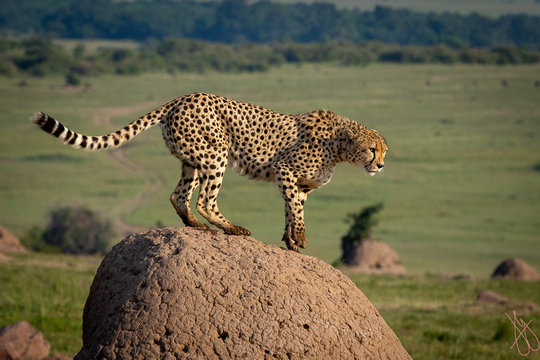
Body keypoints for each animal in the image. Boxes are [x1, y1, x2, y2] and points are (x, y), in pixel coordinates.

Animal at [31, 92, 388, 250]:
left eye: (384, 150)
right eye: (373, 150)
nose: (381, 165)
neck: (341, 146)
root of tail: (181, 98)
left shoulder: (300, 184)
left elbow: (292, 209)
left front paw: (290, 239)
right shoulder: (285, 170)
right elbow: (296, 210)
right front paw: (297, 236)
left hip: (192, 159)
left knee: (178, 195)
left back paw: (194, 226)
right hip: (216, 155)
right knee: (205, 200)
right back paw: (232, 229)